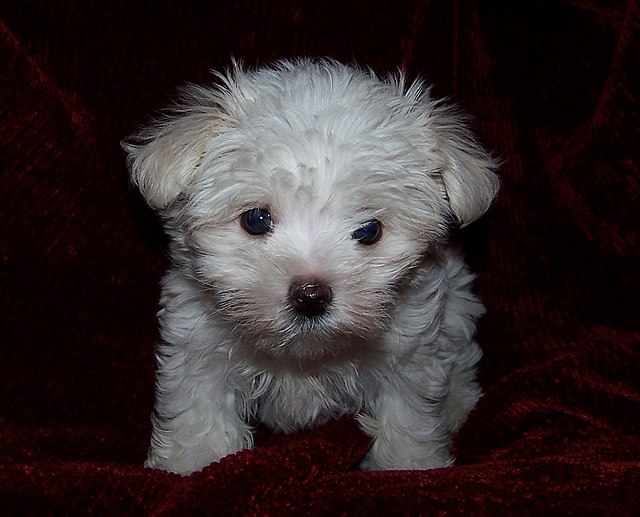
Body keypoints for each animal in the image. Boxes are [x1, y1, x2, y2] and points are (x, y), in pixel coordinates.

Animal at [121, 58, 500, 474]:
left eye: (369, 231)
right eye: (256, 220)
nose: (311, 296)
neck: (304, 355)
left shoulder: (411, 354)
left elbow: (406, 415)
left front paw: (409, 465)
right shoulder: (199, 346)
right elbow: (199, 409)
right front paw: (190, 463)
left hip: (459, 308)